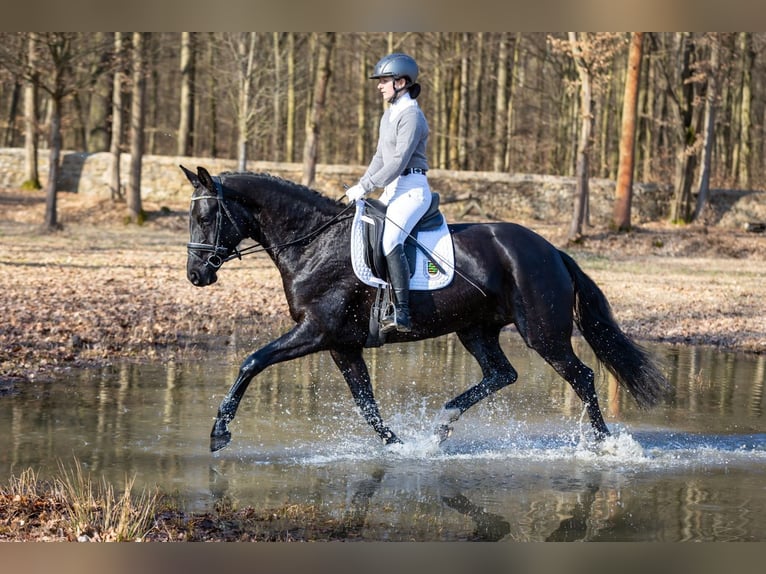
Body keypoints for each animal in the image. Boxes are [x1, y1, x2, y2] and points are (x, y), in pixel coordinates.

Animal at [182, 165, 670, 453]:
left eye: (205, 218)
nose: (195, 275)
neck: (314, 242)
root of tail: (551, 250)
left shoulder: (316, 332)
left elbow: (251, 361)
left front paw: (219, 433)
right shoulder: (341, 345)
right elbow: (365, 401)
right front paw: (397, 445)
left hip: (543, 333)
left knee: (581, 376)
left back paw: (606, 445)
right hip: (475, 329)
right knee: (501, 374)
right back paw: (441, 425)